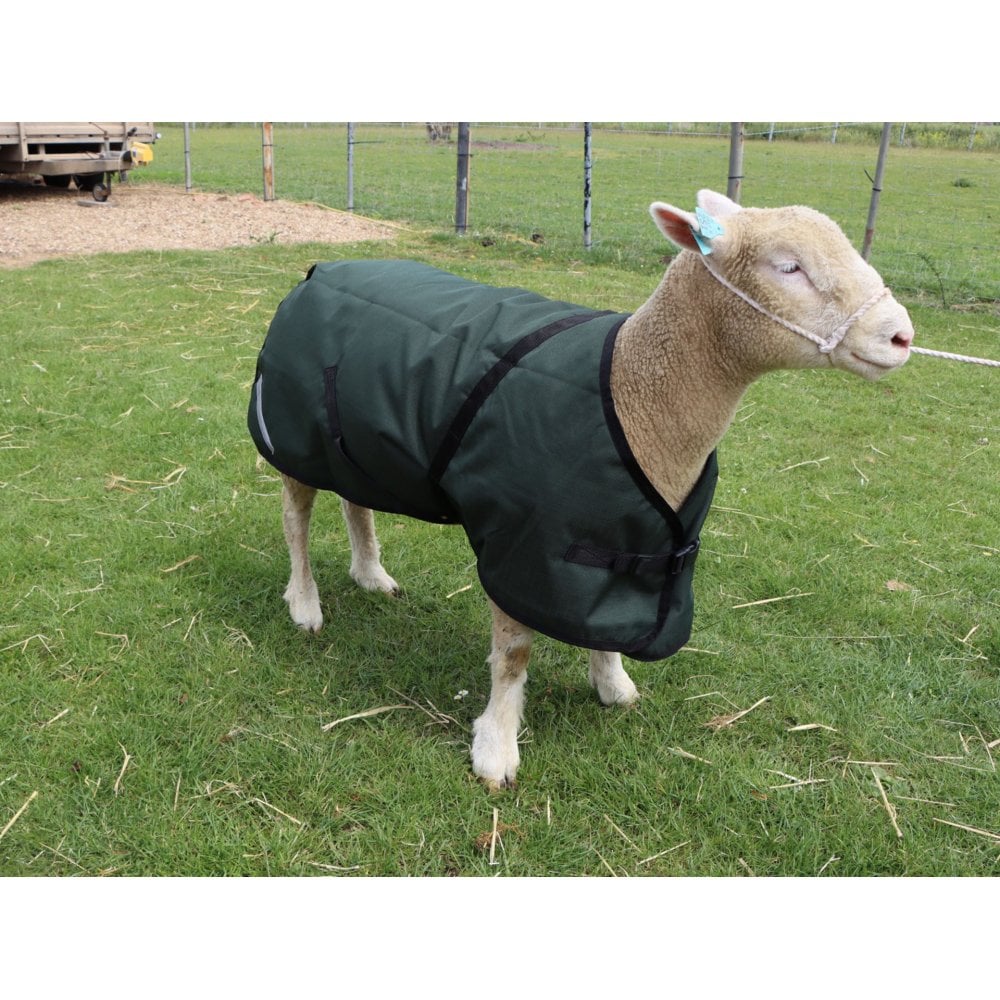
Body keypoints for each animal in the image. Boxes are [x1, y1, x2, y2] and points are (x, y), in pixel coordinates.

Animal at [248, 189, 914, 789]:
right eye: (788, 266)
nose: (901, 335)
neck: (630, 389)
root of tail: (324, 266)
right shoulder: (519, 541)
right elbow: (514, 655)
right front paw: (496, 749)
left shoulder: (629, 538)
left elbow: (609, 620)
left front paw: (613, 685)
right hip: (293, 430)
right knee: (295, 515)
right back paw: (305, 604)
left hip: (355, 440)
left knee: (354, 499)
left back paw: (370, 574)